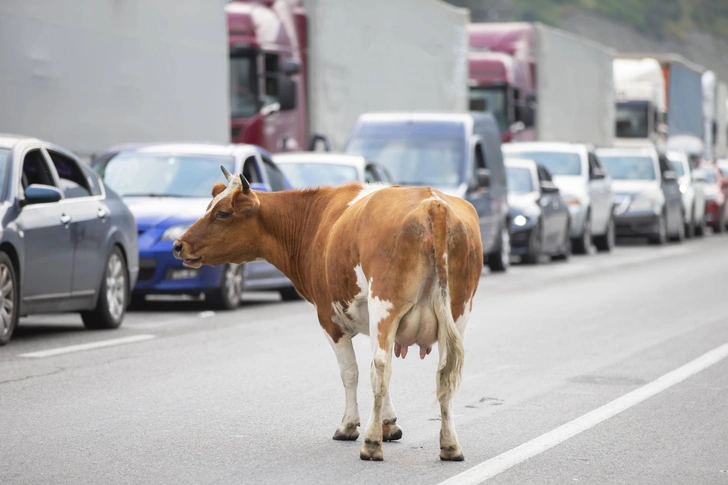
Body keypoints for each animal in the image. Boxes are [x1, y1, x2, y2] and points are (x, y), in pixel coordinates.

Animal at [172, 166, 484, 462]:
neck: (315, 220)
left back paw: (371, 445)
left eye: (222, 213)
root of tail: (432, 203)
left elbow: (351, 372)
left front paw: (350, 426)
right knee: (444, 374)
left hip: (385, 305)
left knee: (381, 368)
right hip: (457, 312)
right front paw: (389, 424)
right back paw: (450, 445)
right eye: (209, 207)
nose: (178, 245)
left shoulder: (329, 319)